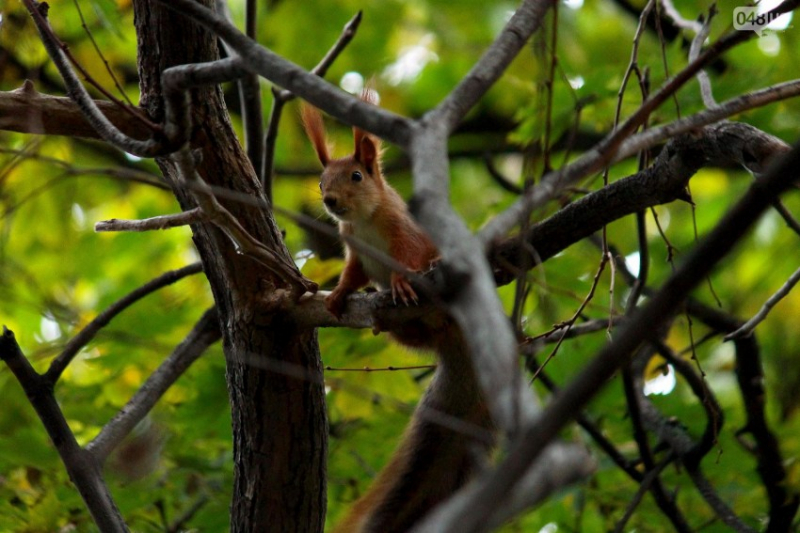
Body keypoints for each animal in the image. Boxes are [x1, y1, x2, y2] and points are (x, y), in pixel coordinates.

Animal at [304, 92, 494, 532]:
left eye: (357, 176)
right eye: (321, 182)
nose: (330, 201)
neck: (364, 221)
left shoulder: (403, 235)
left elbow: (409, 257)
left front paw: (403, 281)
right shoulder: (355, 250)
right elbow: (353, 275)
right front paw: (339, 295)